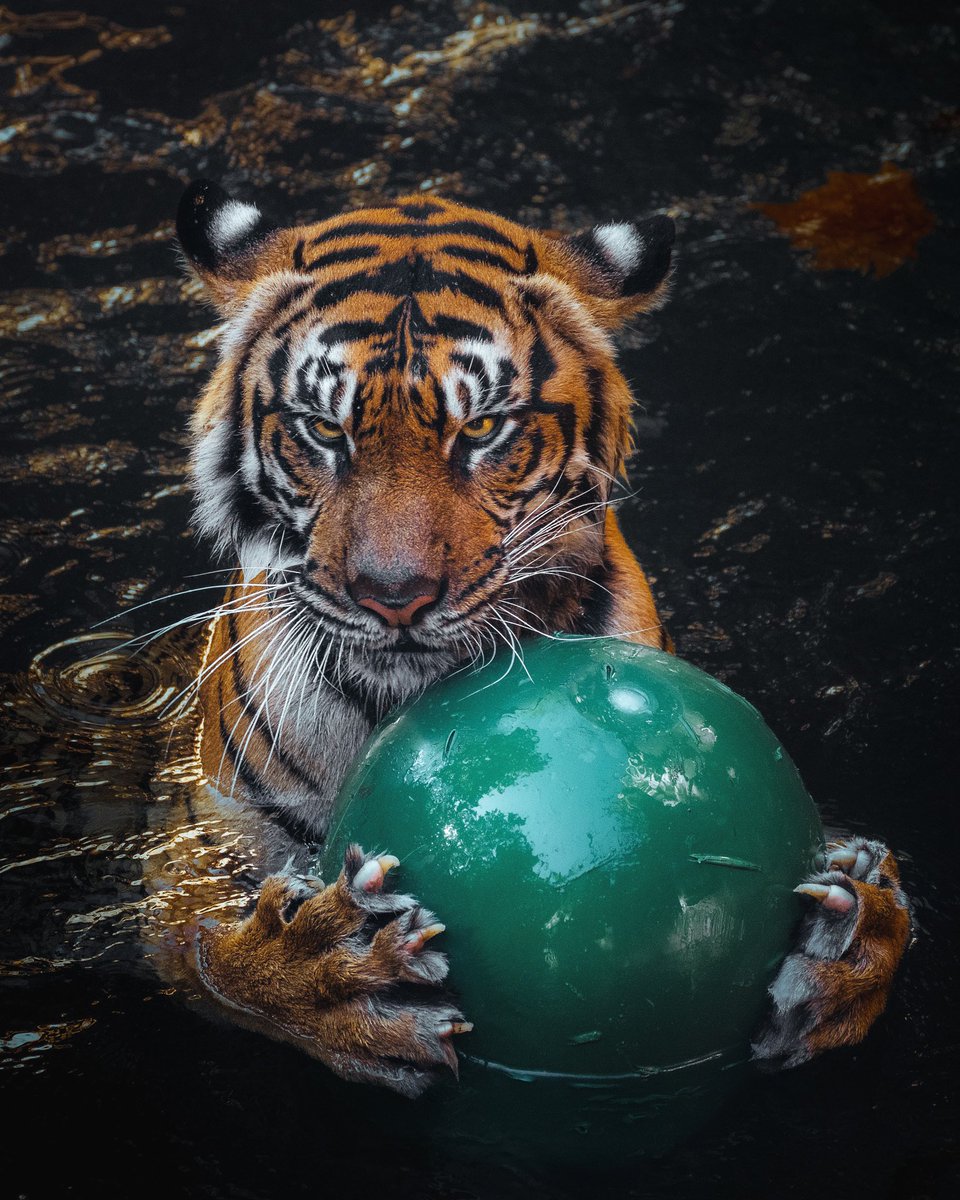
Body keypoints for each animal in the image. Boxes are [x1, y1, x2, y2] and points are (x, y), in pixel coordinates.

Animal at [155, 180, 911, 1098]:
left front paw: (858, 935)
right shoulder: (195, 852)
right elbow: (213, 955)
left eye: (481, 431)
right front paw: (326, 973)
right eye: (325, 432)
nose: (395, 597)